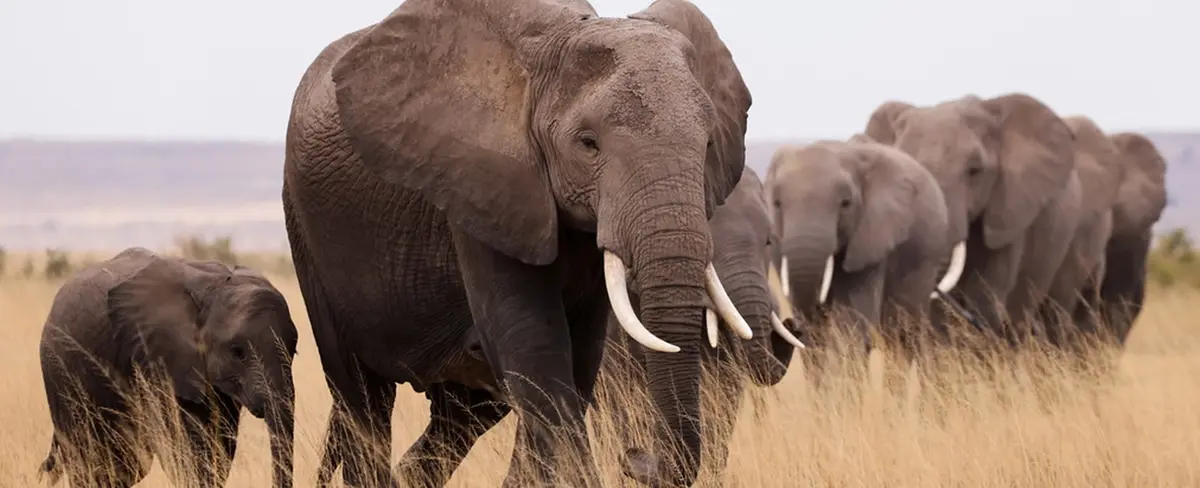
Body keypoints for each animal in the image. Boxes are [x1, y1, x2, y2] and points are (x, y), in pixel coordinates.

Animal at [36, 247, 297, 488]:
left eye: (293, 350)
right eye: (237, 352)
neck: (212, 286)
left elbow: (220, 445)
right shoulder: (153, 358)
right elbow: (186, 447)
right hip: (60, 373)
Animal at [280, 0, 755, 486]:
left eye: (709, 143)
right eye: (588, 144)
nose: (636, 458)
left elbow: (578, 359)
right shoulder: (482, 183)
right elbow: (536, 348)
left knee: (459, 417)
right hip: (306, 227)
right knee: (362, 400)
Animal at [763, 137, 963, 363]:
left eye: (845, 203)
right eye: (776, 204)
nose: (791, 324)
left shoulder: (872, 238)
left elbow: (852, 319)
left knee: (903, 333)